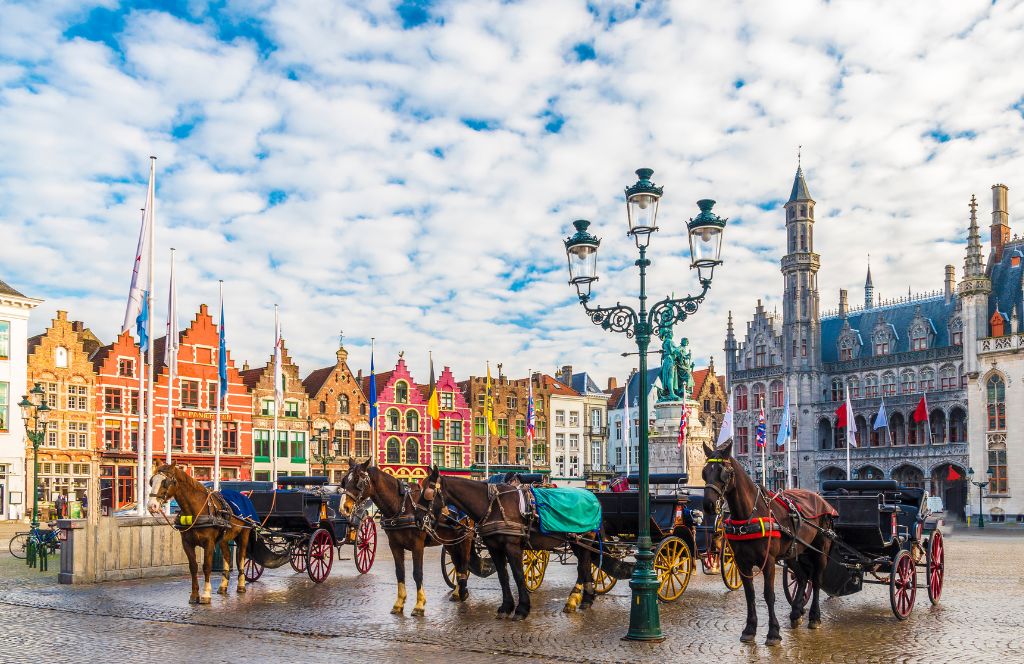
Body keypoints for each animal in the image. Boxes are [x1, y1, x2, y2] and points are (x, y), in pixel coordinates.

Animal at [146, 465, 251, 602]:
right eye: (151, 481)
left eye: (165, 482)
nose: (151, 506)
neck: (196, 510)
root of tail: (244, 496)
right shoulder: (187, 543)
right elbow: (193, 567)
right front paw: (194, 594)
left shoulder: (209, 542)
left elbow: (206, 566)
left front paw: (206, 594)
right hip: (223, 538)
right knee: (228, 556)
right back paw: (223, 586)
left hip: (244, 533)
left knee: (241, 558)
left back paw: (241, 585)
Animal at [339, 457, 475, 618]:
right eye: (344, 481)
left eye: (358, 480)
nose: (343, 508)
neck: (400, 506)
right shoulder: (394, 545)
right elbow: (400, 572)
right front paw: (399, 604)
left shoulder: (417, 545)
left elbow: (417, 573)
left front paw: (419, 605)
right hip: (450, 541)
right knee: (457, 563)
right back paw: (456, 593)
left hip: (465, 538)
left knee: (464, 563)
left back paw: (462, 592)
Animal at [415, 465, 598, 618]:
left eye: (428, 491)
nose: (417, 519)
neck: (492, 506)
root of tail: (592, 495)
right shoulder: (494, 547)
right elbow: (503, 576)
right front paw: (506, 607)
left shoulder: (512, 546)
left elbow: (518, 575)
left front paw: (522, 609)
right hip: (576, 542)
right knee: (585, 564)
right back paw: (586, 599)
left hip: (585, 539)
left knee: (583, 565)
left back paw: (574, 600)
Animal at [700, 438, 835, 647]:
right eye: (705, 471)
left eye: (724, 473)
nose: (707, 505)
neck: (750, 515)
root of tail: (819, 497)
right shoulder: (742, 562)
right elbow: (750, 594)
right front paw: (749, 630)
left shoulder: (769, 562)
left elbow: (768, 595)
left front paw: (773, 633)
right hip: (794, 552)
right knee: (802, 576)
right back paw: (796, 613)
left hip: (820, 550)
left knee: (817, 580)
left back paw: (814, 617)